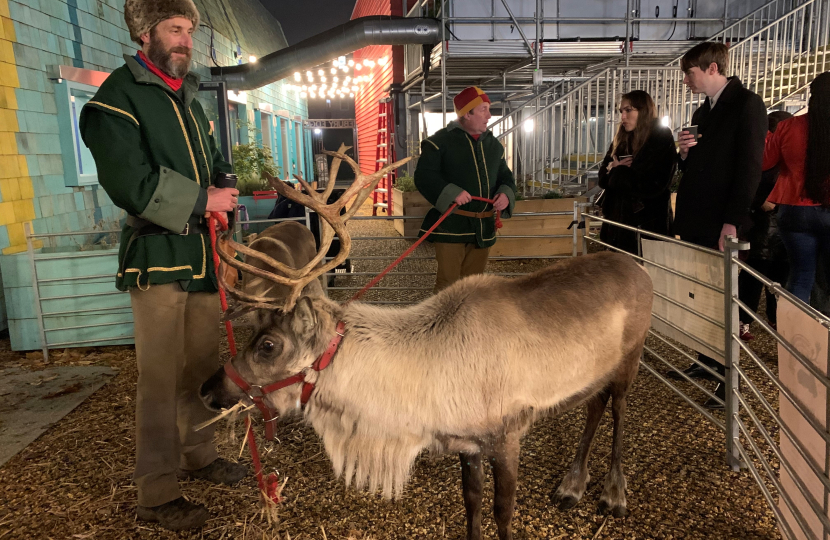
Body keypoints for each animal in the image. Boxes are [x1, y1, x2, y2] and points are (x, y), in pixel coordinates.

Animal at [200, 152, 653, 540]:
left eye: (268, 345)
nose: (207, 389)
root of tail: (637, 267)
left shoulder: (507, 437)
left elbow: (503, 514)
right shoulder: (467, 445)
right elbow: (472, 506)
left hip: (631, 359)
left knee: (618, 412)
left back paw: (613, 492)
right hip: (599, 370)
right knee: (596, 405)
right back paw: (572, 485)